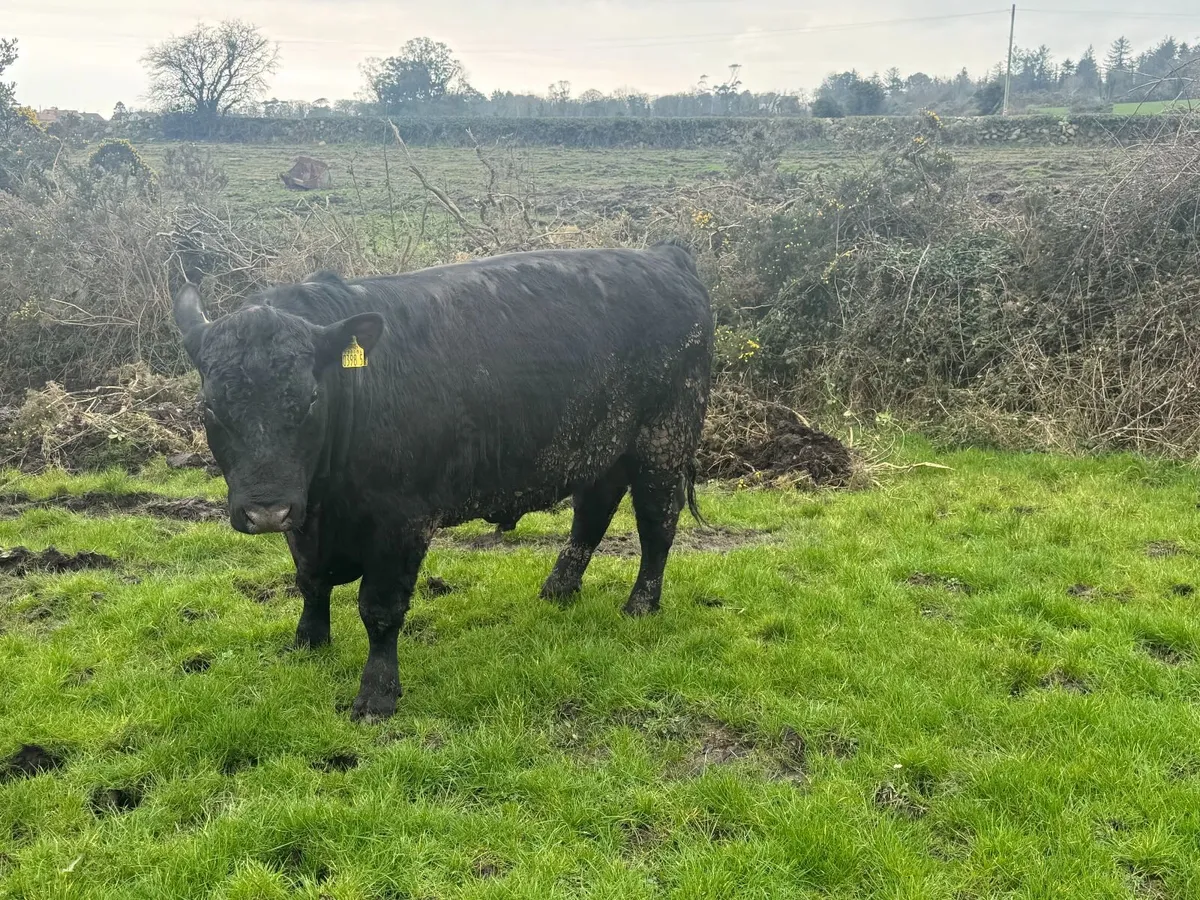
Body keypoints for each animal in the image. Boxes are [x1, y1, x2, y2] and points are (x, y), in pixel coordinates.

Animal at [171, 242, 713, 721]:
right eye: (210, 406)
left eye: (310, 399)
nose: (266, 511)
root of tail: (665, 256)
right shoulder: (305, 515)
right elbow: (310, 581)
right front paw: (307, 643)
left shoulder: (400, 519)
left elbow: (380, 608)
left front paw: (377, 695)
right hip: (602, 448)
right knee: (594, 512)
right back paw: (558, 589)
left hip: (663, 438)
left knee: (656, 525)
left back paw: (640, 604)